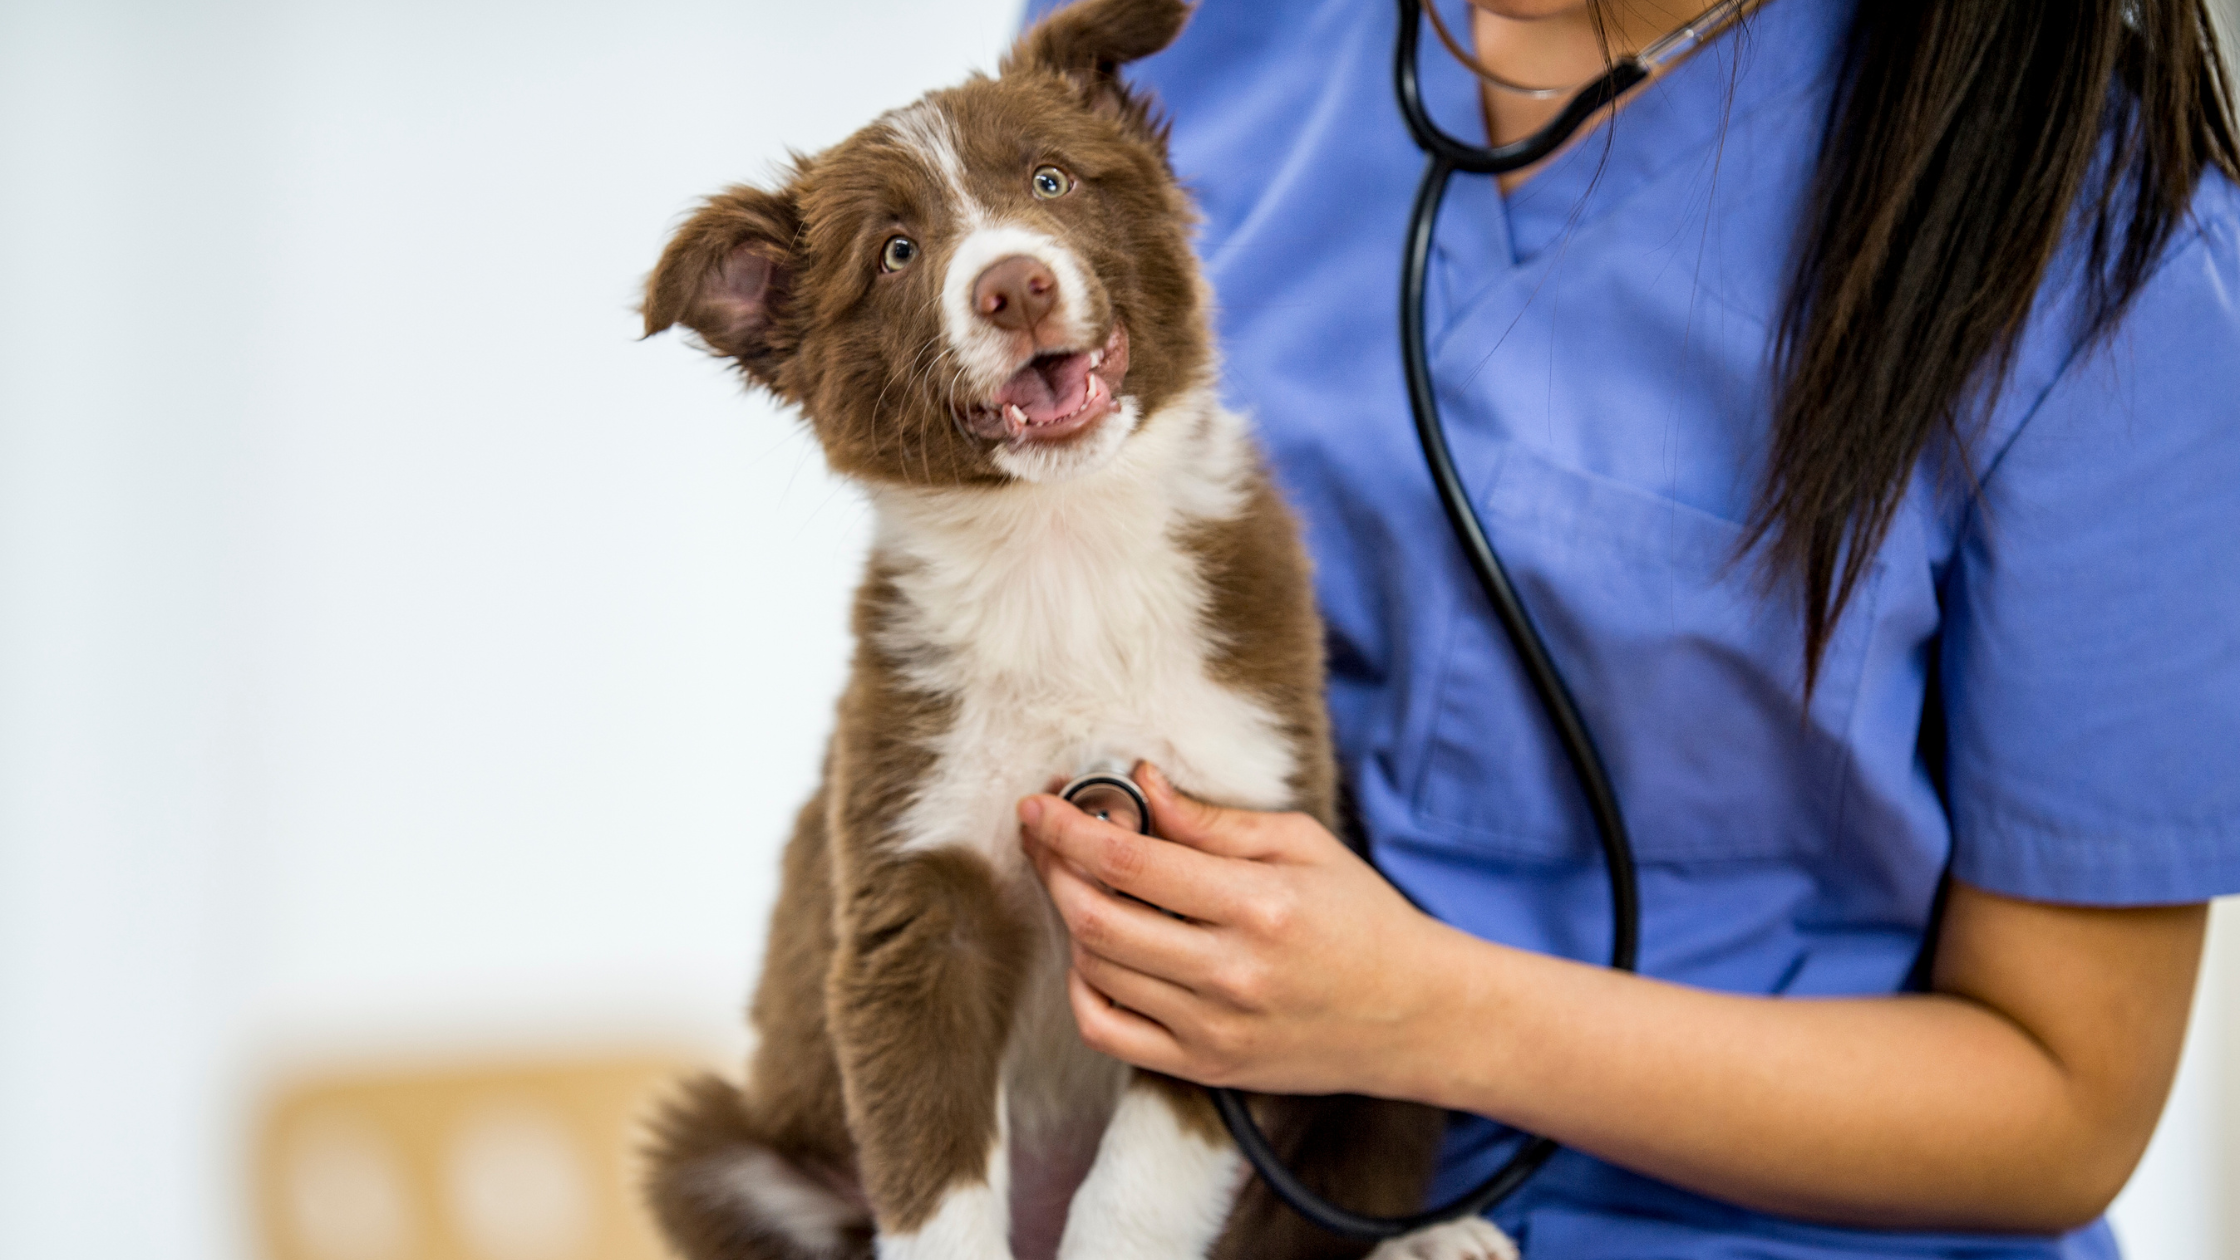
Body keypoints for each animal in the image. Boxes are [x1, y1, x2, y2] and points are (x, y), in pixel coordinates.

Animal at [640, 0, 1505, 1246]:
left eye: (1050, 180)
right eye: (897, 253)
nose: (1013, 286)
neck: (1062, 550)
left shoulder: (1226, 882)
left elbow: (1143, 1182)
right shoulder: (916, 891)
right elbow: (934, 1179)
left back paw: (1434, 1237)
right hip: (718, 1146)